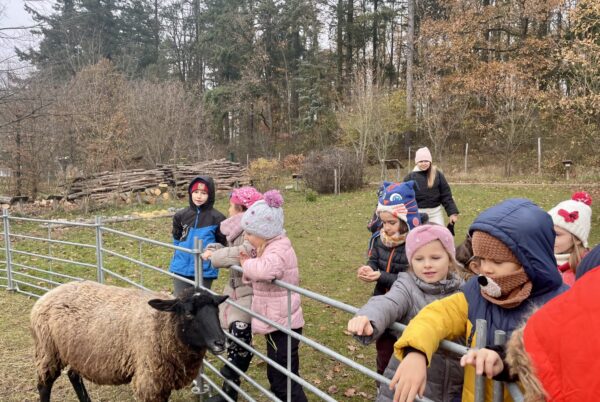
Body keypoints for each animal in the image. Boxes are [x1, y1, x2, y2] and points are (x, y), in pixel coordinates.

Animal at [31, 280, 227, 402]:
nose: (220, 342)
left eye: (217, 310)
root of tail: (47, 296)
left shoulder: (163, 380)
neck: (162, 324)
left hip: (77, 352)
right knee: (44, 385)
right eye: (188, 313)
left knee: (73, 375)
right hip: (48, 350)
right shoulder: (149, 381)